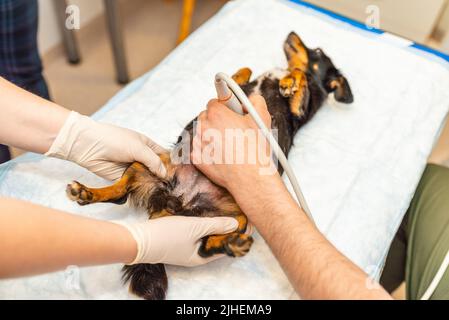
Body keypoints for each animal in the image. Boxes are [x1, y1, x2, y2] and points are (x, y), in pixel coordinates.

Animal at [65, 32, 354, 300]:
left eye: (318, 51)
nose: (291, 33)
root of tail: (174, 204)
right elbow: (247, 70)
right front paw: (250, 75)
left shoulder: (299, 110)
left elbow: (300, 78)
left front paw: (288, 81)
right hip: (147, 161)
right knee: (120, 193)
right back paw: (86, 192)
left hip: (239, 217)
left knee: (203, 247)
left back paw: (230, 244)